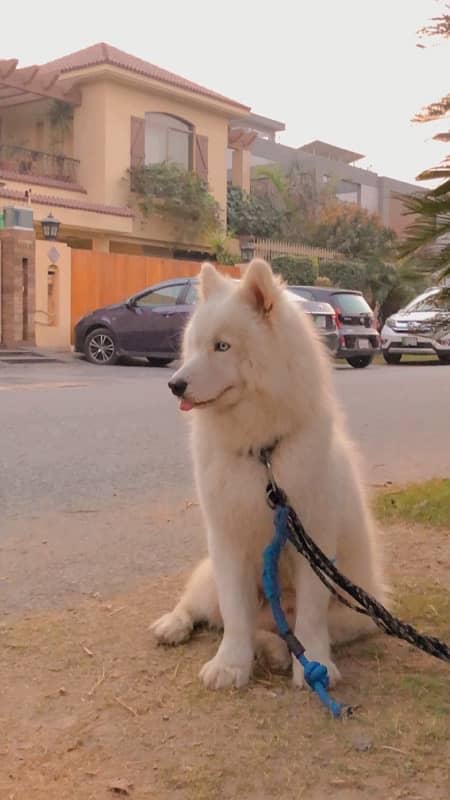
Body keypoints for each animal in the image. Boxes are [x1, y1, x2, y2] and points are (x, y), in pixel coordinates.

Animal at [153, 260, 384, 692]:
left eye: (222, 347)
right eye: (194, 346)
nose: (174, 385)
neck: (262, 453)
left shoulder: (313, 542)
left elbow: (309, 619)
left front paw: (314, 667)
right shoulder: (227, 539)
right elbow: (233, 613)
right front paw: (230, 665)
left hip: (357, 613)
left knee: (283, 629)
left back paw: (276, 652)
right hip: (210, 577)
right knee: (201, 606)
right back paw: (173, 624)